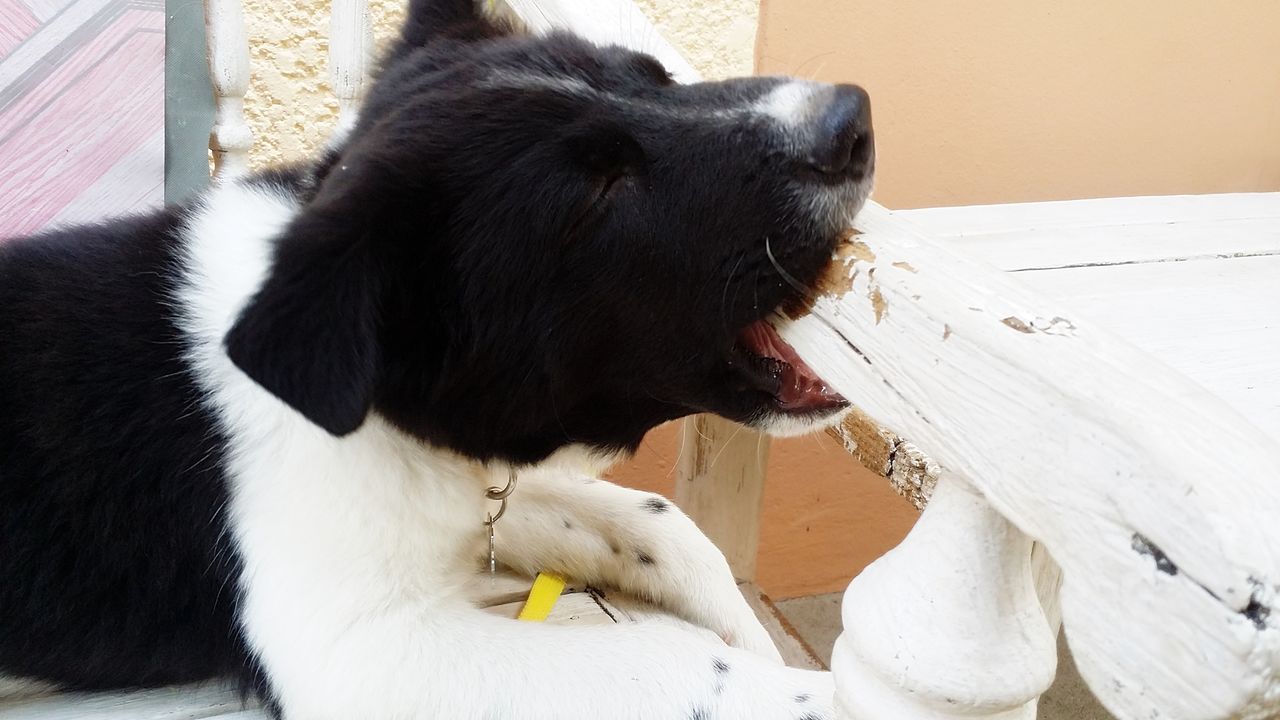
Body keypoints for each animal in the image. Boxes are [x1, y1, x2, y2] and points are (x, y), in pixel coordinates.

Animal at [0, 2, 875, 712]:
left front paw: (752, 636)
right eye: (595, 197)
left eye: (657, 78)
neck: (366, 389)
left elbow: (660, 522)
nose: (851, 120)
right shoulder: (360, 651)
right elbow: (676, 660)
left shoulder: (469, 490)